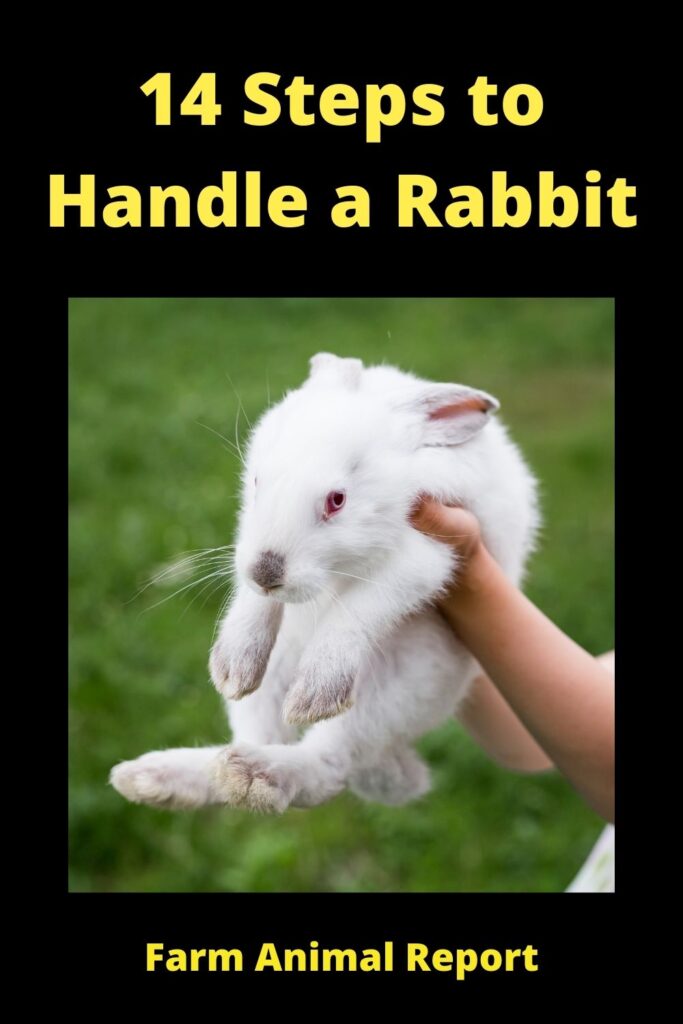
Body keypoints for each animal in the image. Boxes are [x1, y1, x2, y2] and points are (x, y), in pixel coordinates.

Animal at [111, 353, 539, 813]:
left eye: (337, 500)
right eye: (258, 482)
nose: (266, 574)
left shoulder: (428, 554)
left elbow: (360, 606)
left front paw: (315, 691)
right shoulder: (250, 537)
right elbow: (253, 602)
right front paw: (232, 663)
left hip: (398, 686)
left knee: (327, 766)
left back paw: (257, 773)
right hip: (278, 676)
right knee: (250, 742)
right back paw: (155, 778)